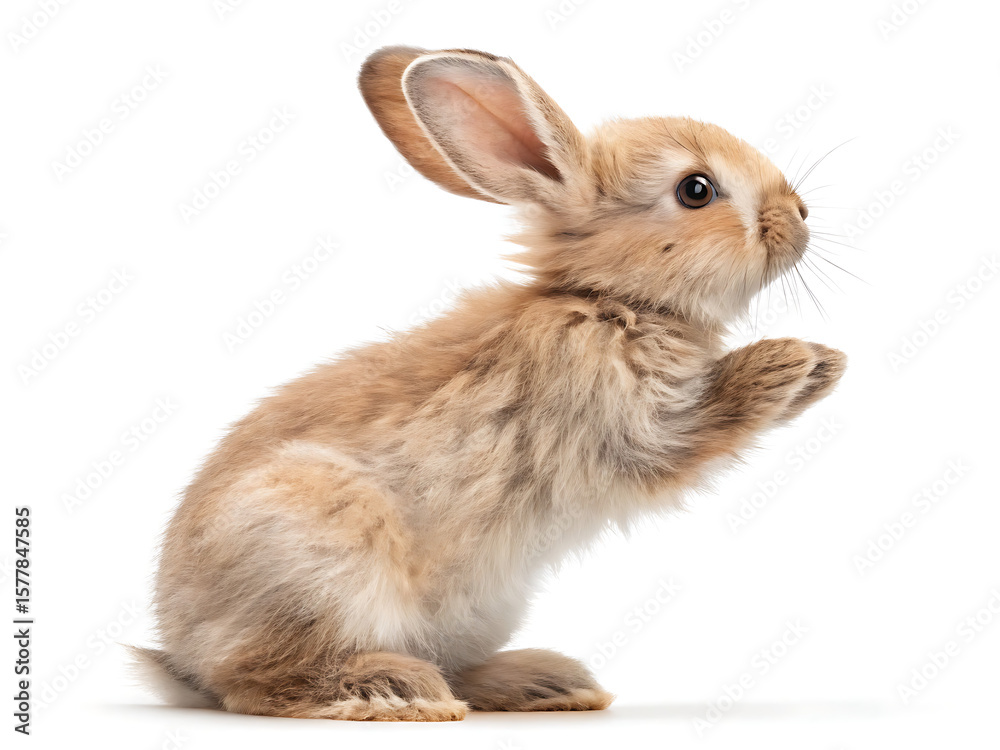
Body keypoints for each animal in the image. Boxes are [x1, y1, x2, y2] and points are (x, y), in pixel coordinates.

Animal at [133, 45, 846, 721]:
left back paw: (544, 682)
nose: (800, 214)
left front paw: (826, 365)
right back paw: (394, 691)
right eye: (696, 190)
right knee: (258, 682)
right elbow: (692, 433)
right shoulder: (628, 424)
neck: (610, 301)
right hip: (320, 557)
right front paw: (786, 362)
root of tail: (183, 655)